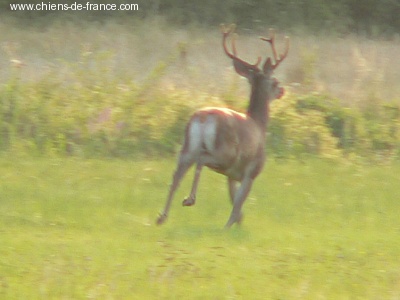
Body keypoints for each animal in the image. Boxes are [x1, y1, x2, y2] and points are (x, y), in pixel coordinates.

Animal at [155, 25, 290, 227]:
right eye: (275, 82)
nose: (282, 90)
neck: (260, 124)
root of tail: (204, 118)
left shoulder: (231, 175)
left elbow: (235, 204)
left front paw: (237, 225)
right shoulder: (251, 171)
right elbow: (236, 207)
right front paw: (228, 227)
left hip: (187, 149)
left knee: (175, 177)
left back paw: (162, 217)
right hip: (225, 153)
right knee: (201, 160)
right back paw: (189, 199)